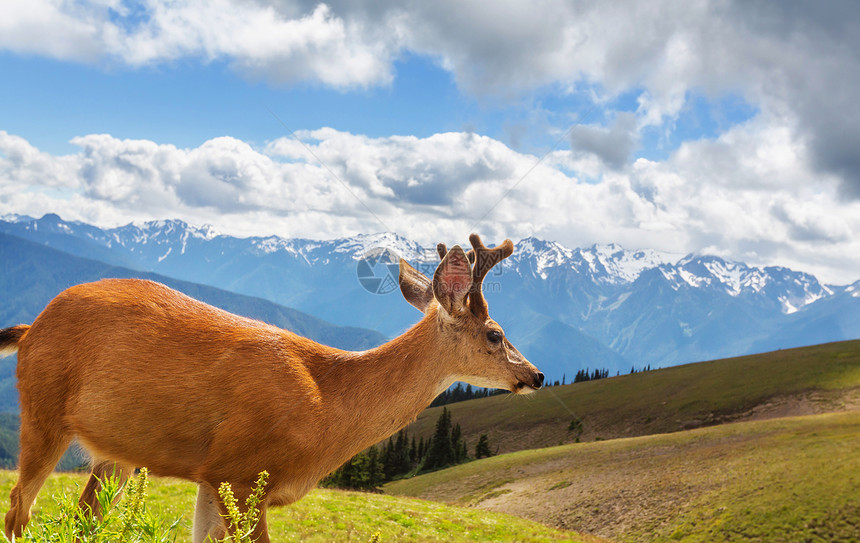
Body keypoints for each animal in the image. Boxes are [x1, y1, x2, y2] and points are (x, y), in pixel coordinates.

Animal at [0, 235, 540, 543]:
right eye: (495, 335)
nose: (535, 375)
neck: (327, 407)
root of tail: (30, 328)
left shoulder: (212, 476)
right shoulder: (241, 470)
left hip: (117, 452)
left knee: (81, 517)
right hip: (42, 409)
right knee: (18, 509)